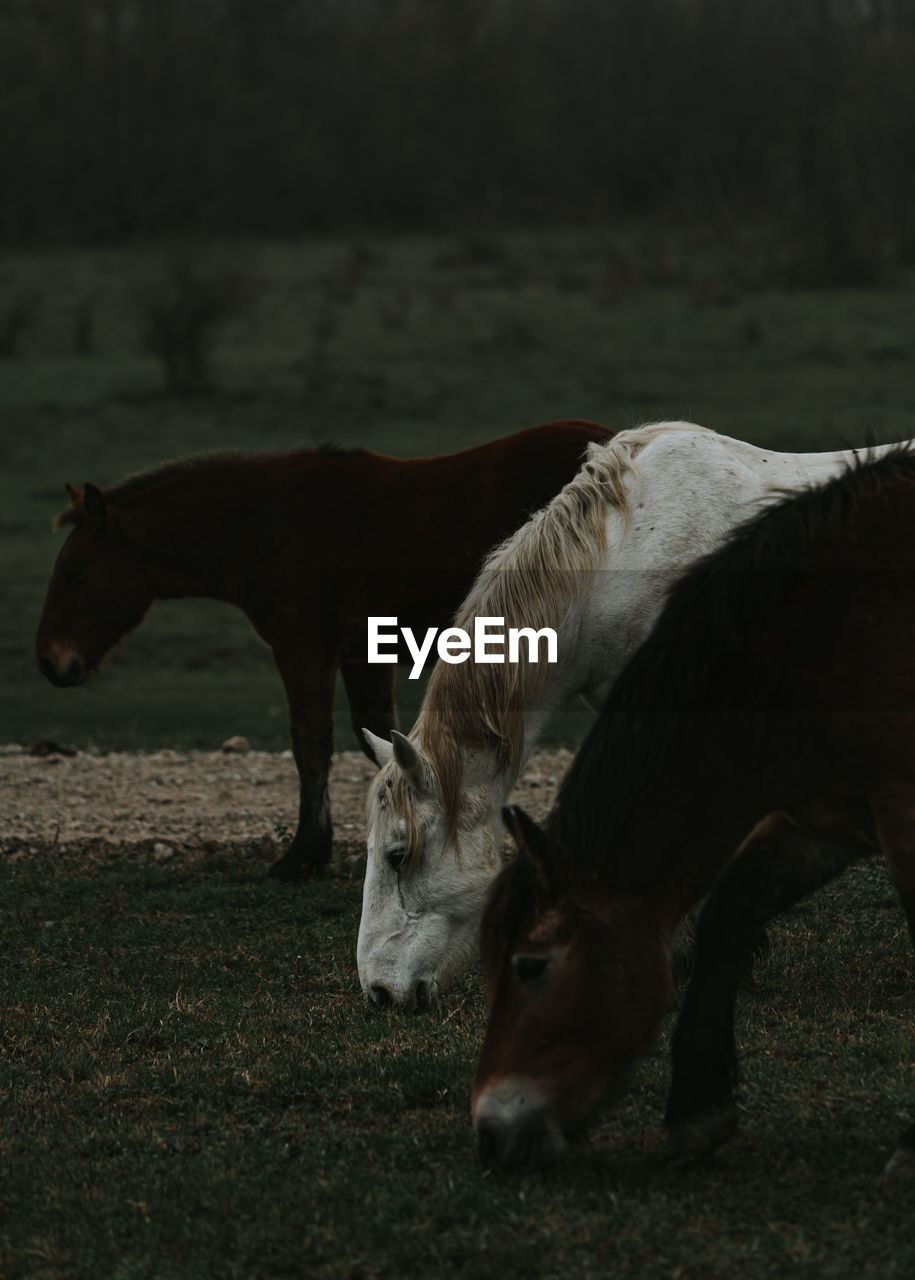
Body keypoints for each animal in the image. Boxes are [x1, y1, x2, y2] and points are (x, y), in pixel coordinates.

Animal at [35, 419, 611, 880]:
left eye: (74, 571)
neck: (263, 520)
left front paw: (303, 854)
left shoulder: (303, 649)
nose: (49, 661)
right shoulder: (362, 655)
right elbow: (377, 738)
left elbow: (310, 744)